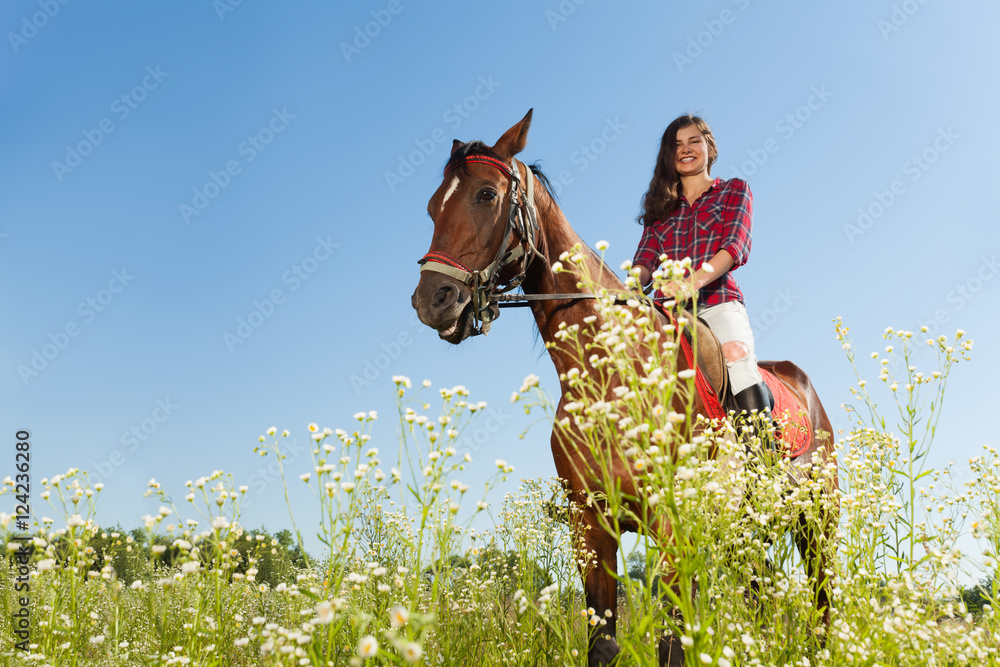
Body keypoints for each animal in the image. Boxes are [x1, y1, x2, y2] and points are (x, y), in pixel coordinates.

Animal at [408, 111, 836, 667]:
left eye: (485, 194)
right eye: (433, 205)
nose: (432, 301)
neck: (610, 378)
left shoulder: (674, 528)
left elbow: (672, 645)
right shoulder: (592, 530)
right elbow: (603, 643)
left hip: (816, 519)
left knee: (823, 606)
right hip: (742, 535)